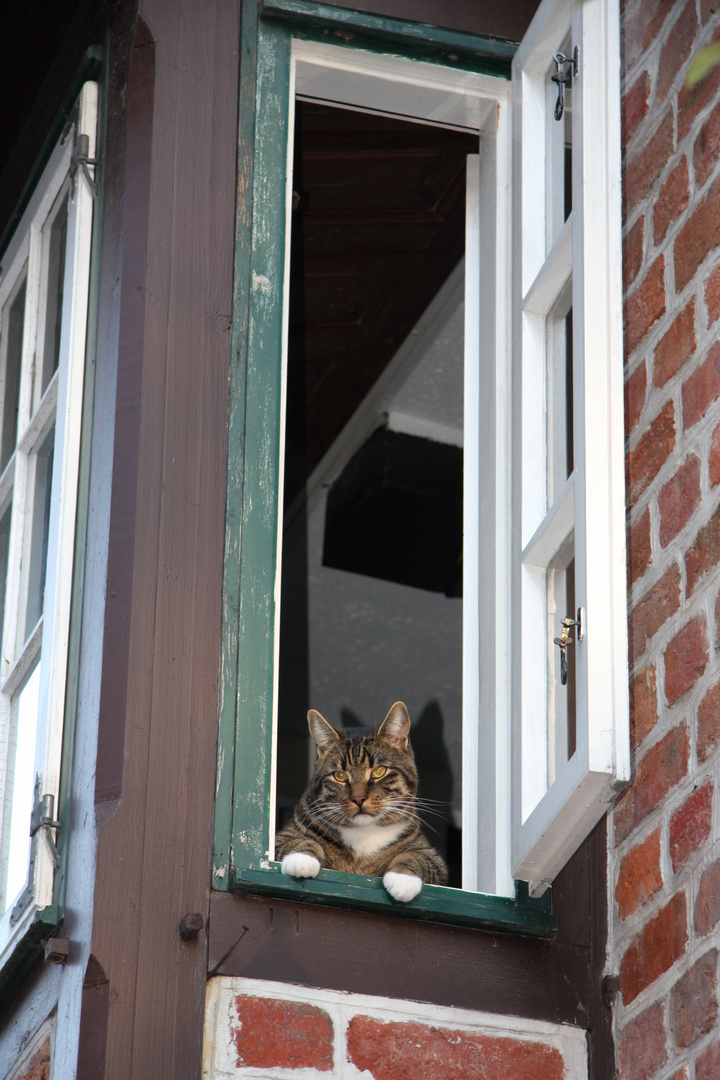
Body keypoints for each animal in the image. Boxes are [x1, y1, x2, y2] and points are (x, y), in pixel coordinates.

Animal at [274, 699, 444, 902]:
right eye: (339, 776)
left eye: (379, 771)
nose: (358, 798)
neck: (364, 834)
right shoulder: (283, 837)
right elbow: (299, 841)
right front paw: (301, 858)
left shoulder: (433, 859)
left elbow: (416, 857)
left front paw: (403, 879)